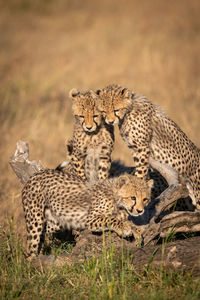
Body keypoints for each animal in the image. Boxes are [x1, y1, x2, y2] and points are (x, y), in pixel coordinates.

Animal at [21, 169, 153, 258]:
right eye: (133, 198)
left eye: (145, 199)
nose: (140, 210)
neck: (116, 199)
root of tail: (36, 174)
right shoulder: (89, 219)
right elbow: (110, 219)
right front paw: (124, 229)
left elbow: (128, 222)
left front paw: (136, 232)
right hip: (35, 219)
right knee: (31, 245)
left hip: (56, 221)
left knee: (43, 233)